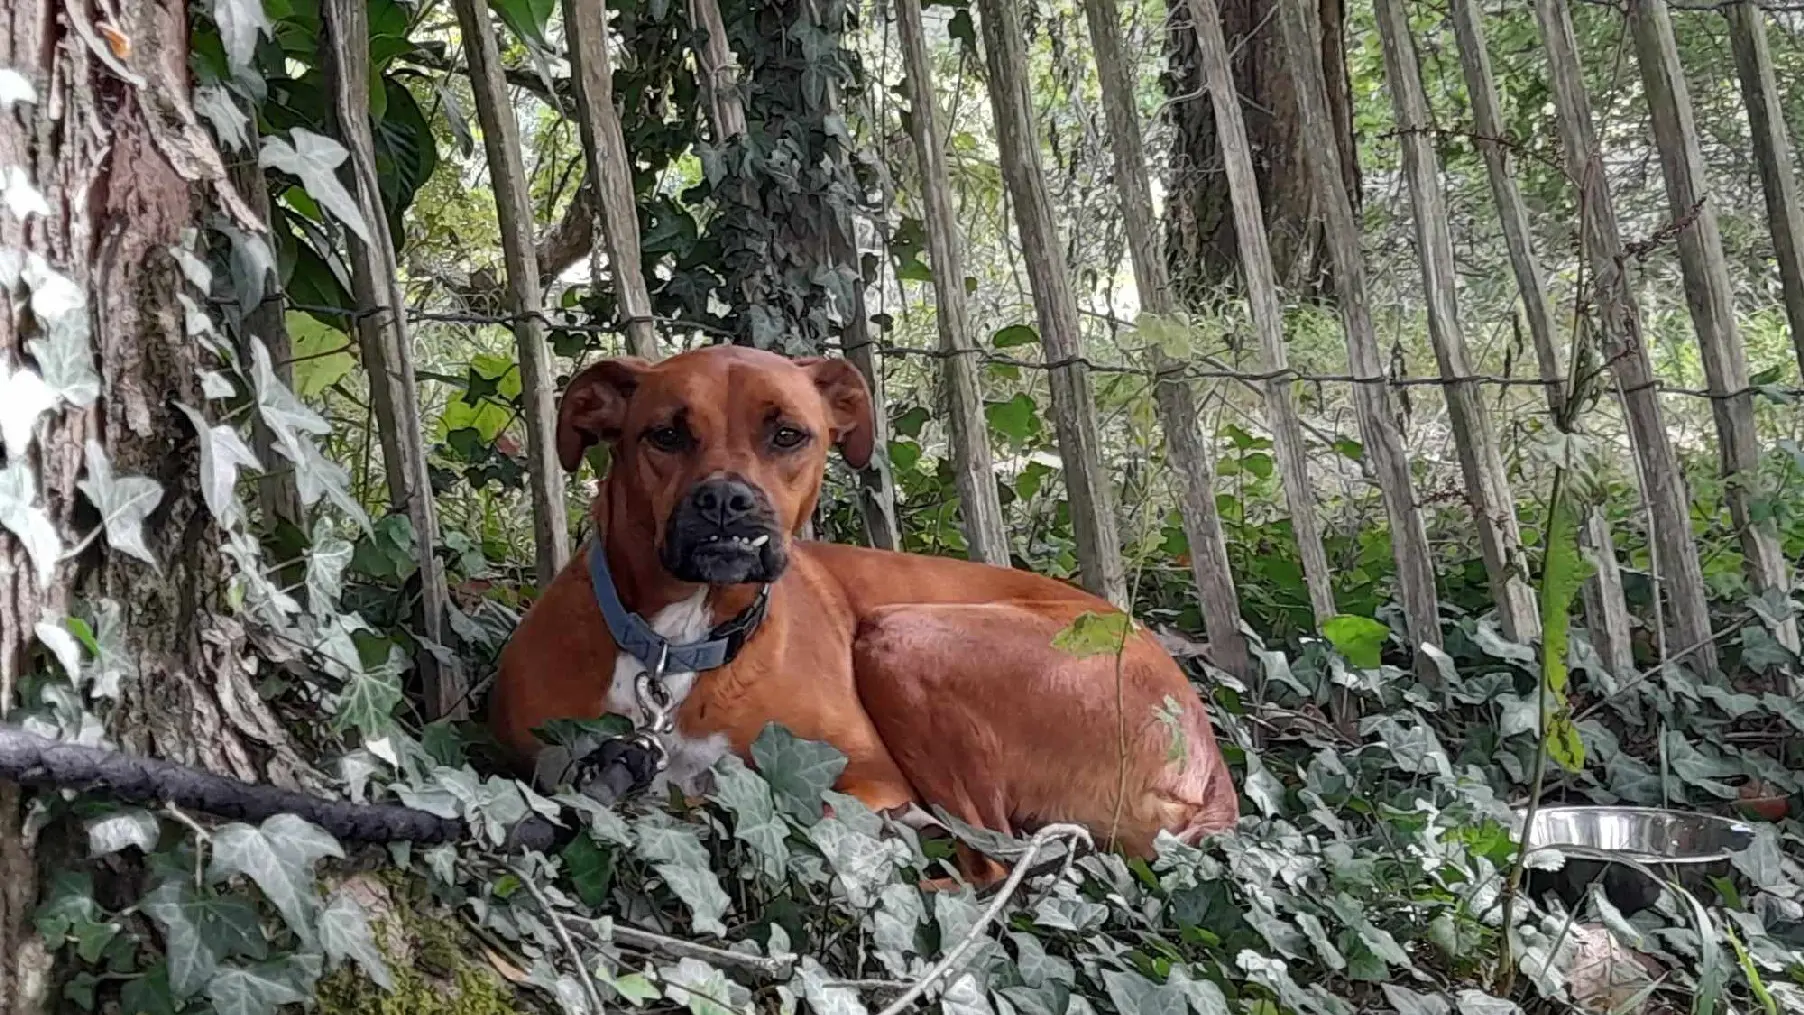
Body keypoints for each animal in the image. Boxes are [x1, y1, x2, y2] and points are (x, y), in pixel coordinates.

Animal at [487, 346, 1233, 876]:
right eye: (665, 434)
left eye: (789, 435)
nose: (727, 500)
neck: (678, 644)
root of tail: (1211, 767)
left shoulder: (871, 779)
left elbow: (796, 804)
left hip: (906, 637)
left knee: (990, 858)